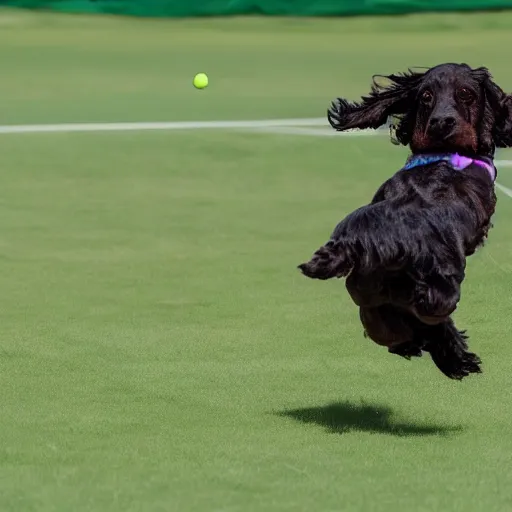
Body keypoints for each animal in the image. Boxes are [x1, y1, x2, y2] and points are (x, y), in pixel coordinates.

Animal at [298, 62, 510, 378]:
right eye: (426, 96)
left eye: (465, 93)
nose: (441, 122)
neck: (443, 155)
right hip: (440, 290)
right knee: (431, 313)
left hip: (367, 300)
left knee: (389, 329)